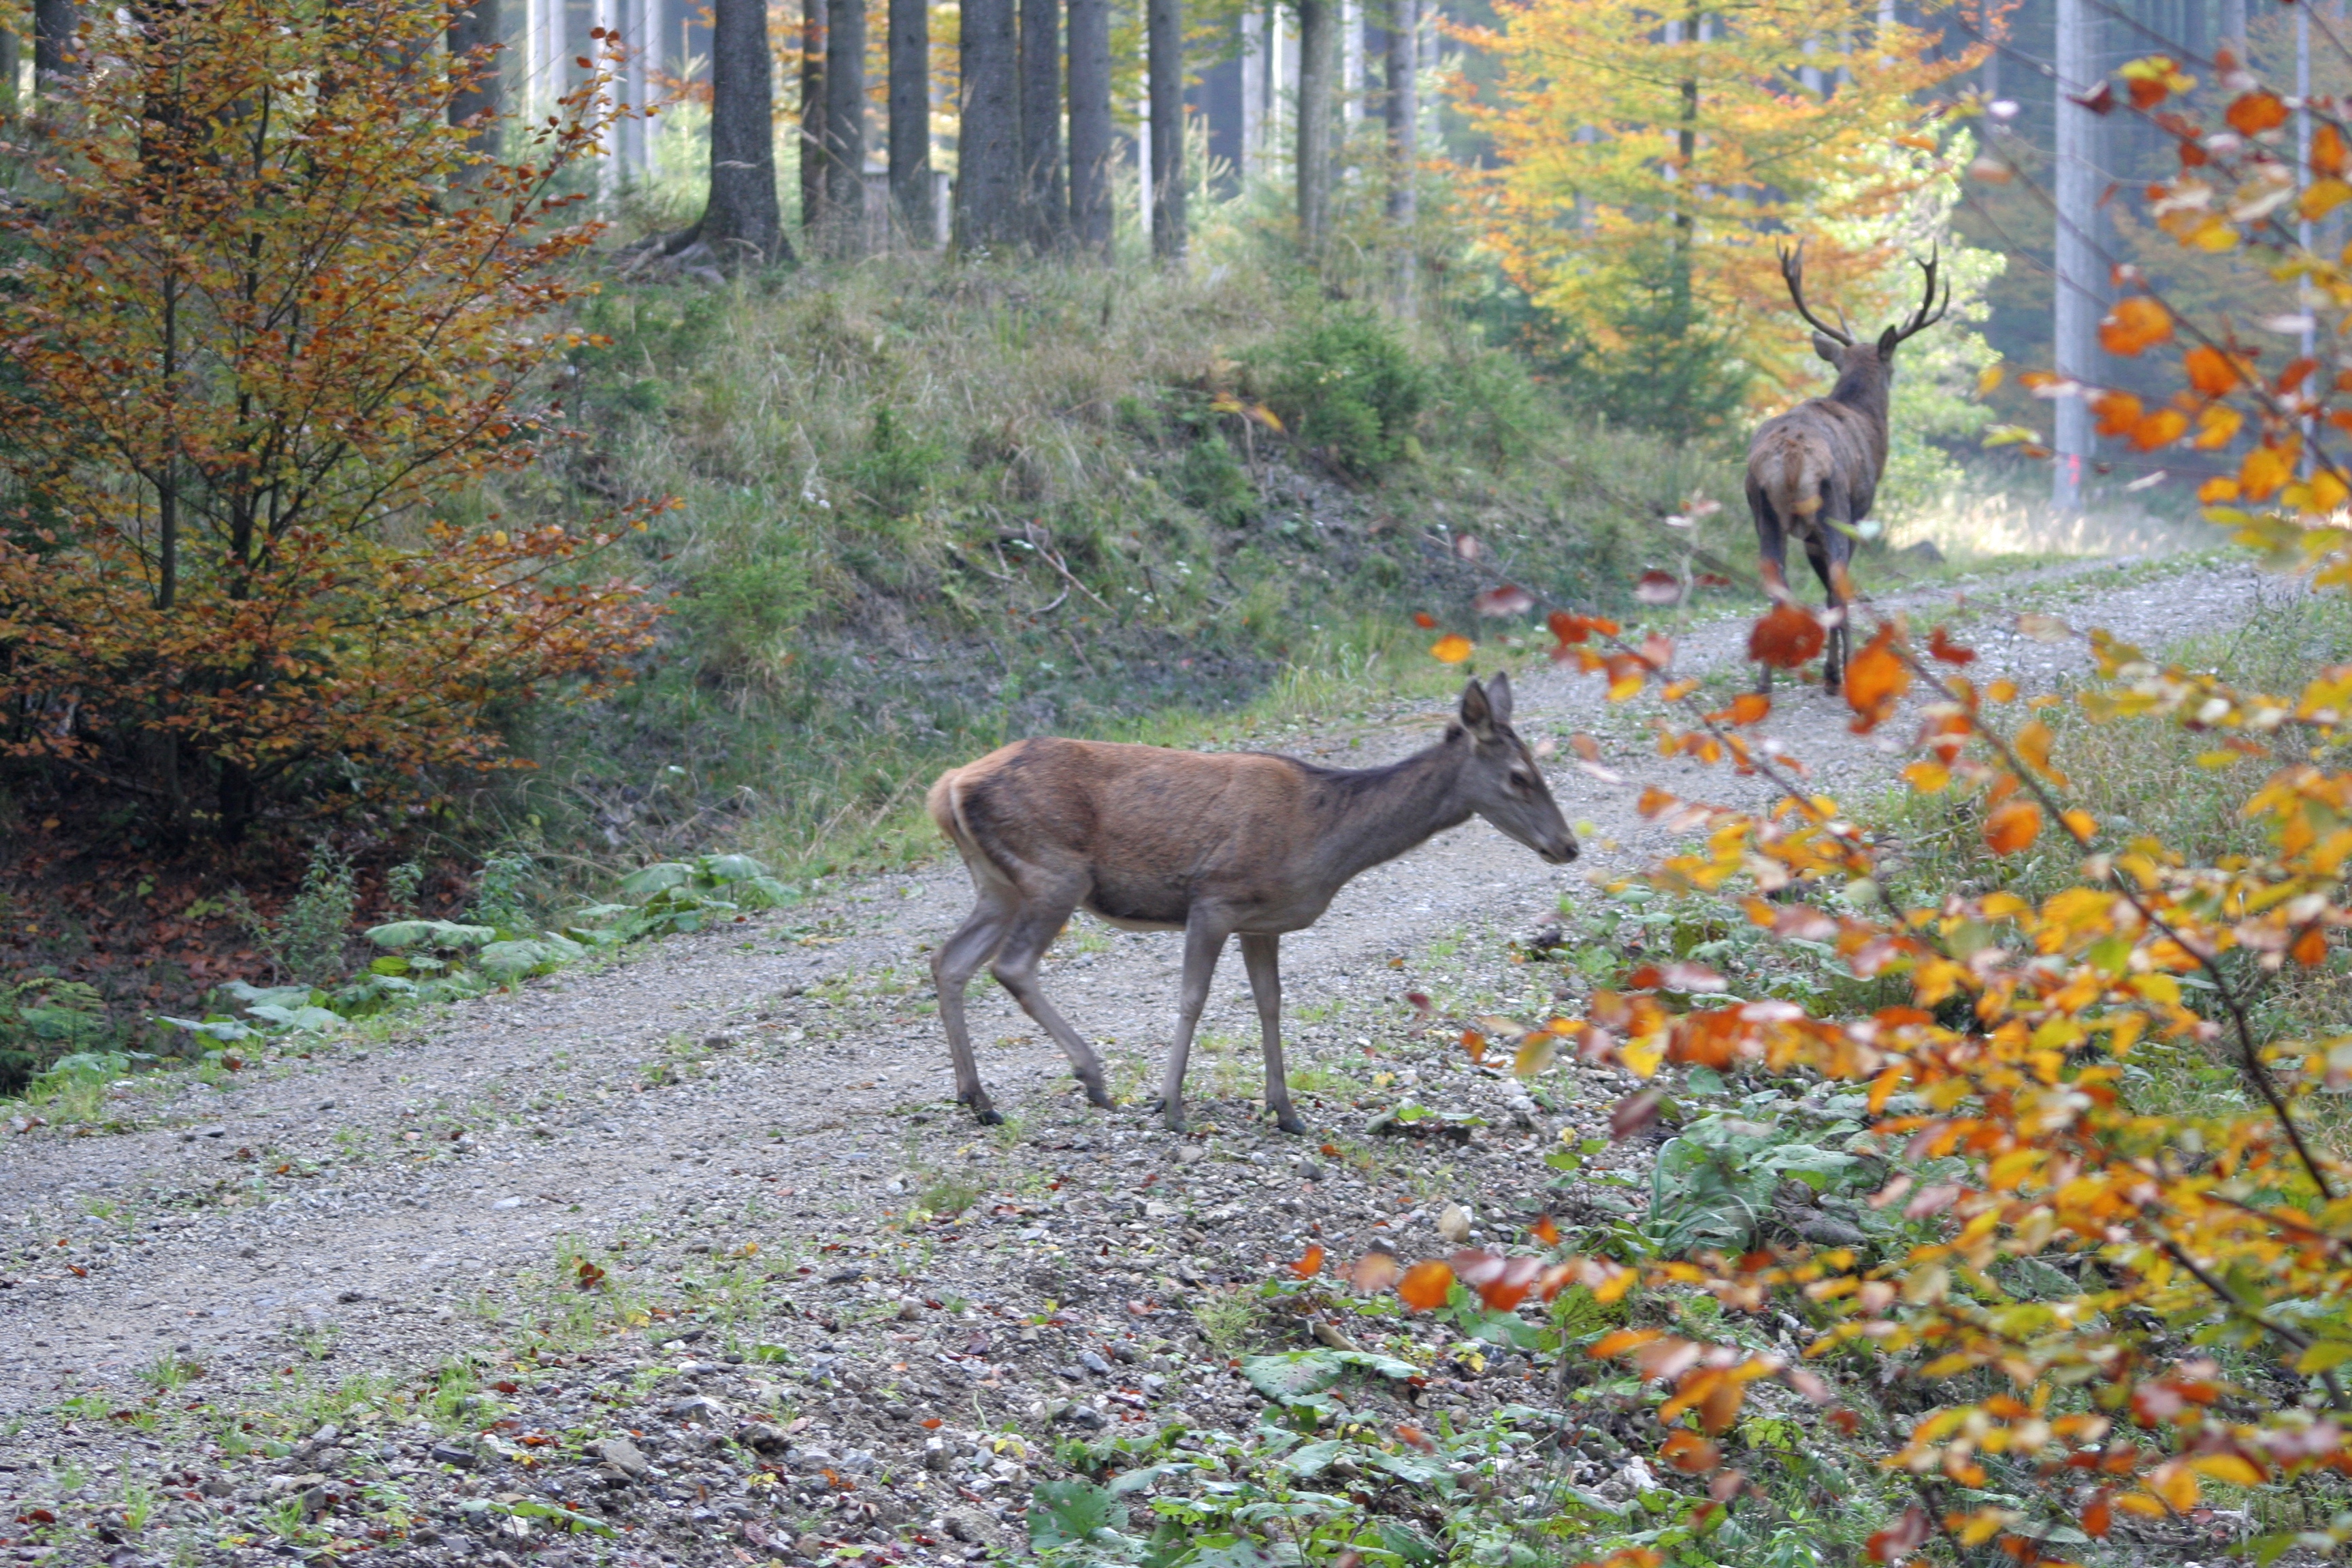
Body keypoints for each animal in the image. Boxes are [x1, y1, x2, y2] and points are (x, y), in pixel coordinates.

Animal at [921, 672, 1580, 1128]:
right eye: (1520, 775)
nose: (1568, 845)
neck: (1324, 839)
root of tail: (947, 785)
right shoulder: (1215, 897)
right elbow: (1193, 998)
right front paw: (1171, 1105)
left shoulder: (1264, 923)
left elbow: (1270, 1004)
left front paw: (1285, 1111)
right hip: (1054, 870)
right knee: (1011, 965)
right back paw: (1091, 1076)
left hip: (1001, 884)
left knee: (949, 960)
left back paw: (978, 1098)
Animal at [1750, 241, 1947, 691]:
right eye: (1894, 366)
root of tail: (1792, 458)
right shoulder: (1860, 508)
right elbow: (1832, 589)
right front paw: (1833, 670)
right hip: (1833, 504)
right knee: (1839, 584)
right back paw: (1846, 673)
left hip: (1762, 509)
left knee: (1777, 585)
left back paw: (1765, 682)